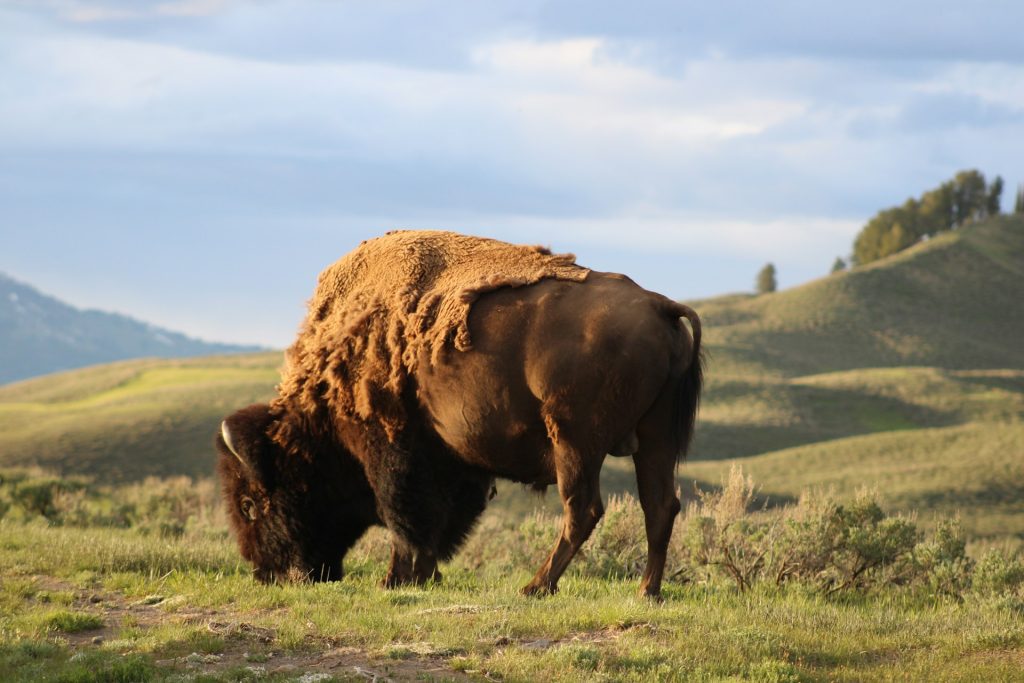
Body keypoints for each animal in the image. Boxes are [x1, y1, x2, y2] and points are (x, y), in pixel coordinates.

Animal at [216, 231, 702, 598]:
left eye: (250, 504)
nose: (267, 573)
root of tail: (659, 305)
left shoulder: (390, 449)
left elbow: (405, 517)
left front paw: (396, 580)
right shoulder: (452, 461)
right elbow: (434, 521)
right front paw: (422, 577)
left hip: (575, 441)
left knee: (584, 509)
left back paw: (536, 587)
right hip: (654, 438)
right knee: (659, 506)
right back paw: (646, 592)